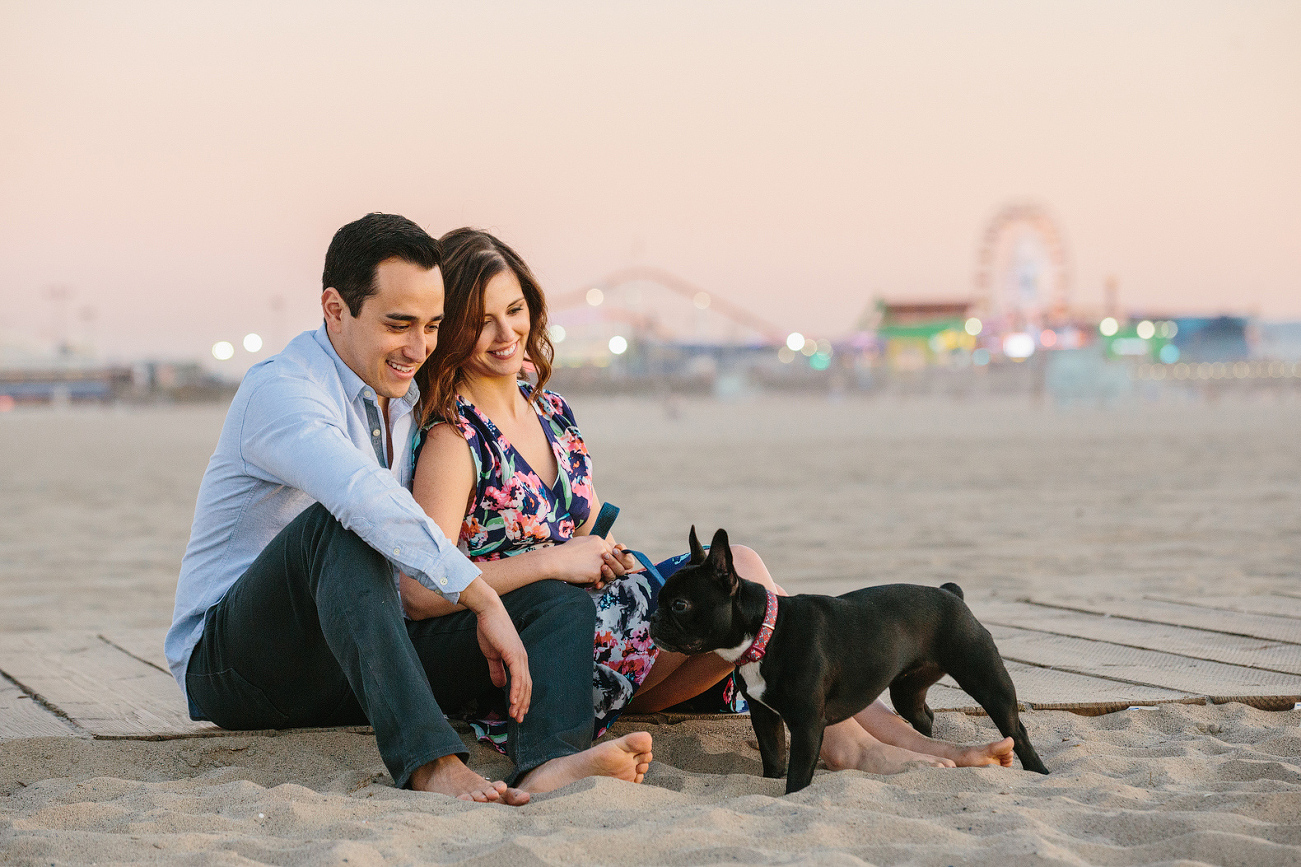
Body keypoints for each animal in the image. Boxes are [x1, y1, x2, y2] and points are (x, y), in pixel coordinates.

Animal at [645, 525, 1051, 791]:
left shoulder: (807, 723)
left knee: (1016, 729)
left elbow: (797, 775)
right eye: (659, 599)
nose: (651, 618)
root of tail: (951, 593)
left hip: (984, 676)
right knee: (924, 716)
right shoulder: (765, 716)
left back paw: (1040, 772)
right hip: (908, 690)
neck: (766, 631)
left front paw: (793, 794)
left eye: (679, 605)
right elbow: (773, 760)